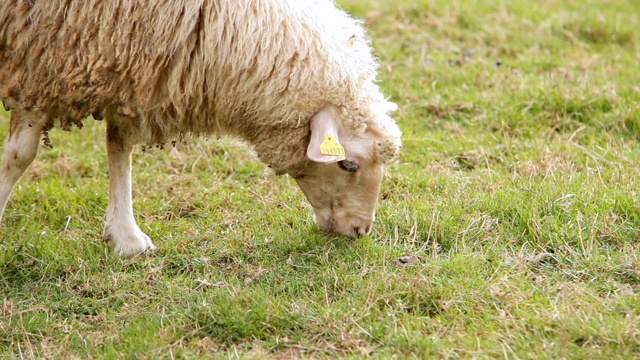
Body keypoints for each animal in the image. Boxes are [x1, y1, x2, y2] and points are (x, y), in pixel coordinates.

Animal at [0, 0, 400, 256]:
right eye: (348, 163)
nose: (361, 230)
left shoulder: (130, 66)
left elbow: (120, 144)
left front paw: (126, 236)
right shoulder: (39, 57)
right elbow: (20, 154)